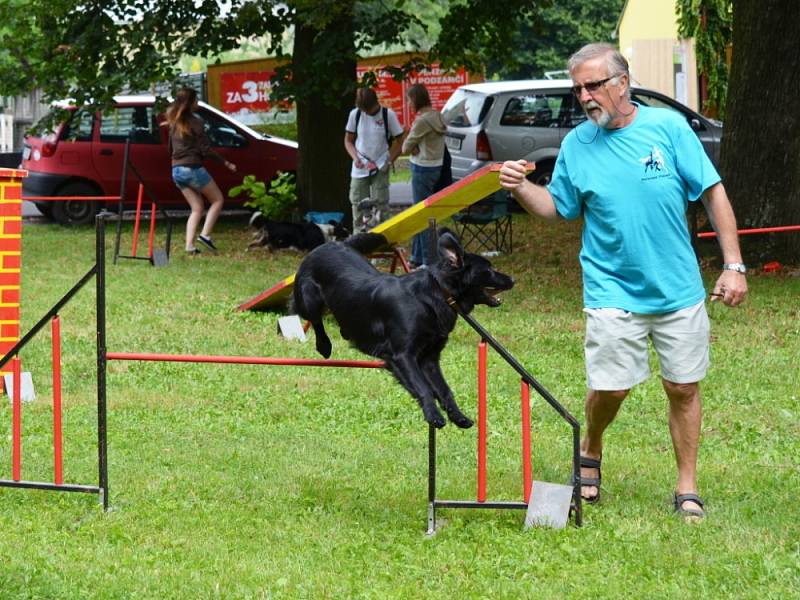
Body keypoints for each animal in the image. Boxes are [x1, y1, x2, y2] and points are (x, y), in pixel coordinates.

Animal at [292, 229, 512, 426]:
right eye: (489, 270)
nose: (512, 279)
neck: (436, 294)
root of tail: (330, 244)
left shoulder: (430, 358)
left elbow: (444, 389)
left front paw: (458, 417)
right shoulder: (402, 355)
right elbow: (424, 388)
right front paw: (434, 415)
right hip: (309, 300)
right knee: (313, 320)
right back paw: (324, 346)